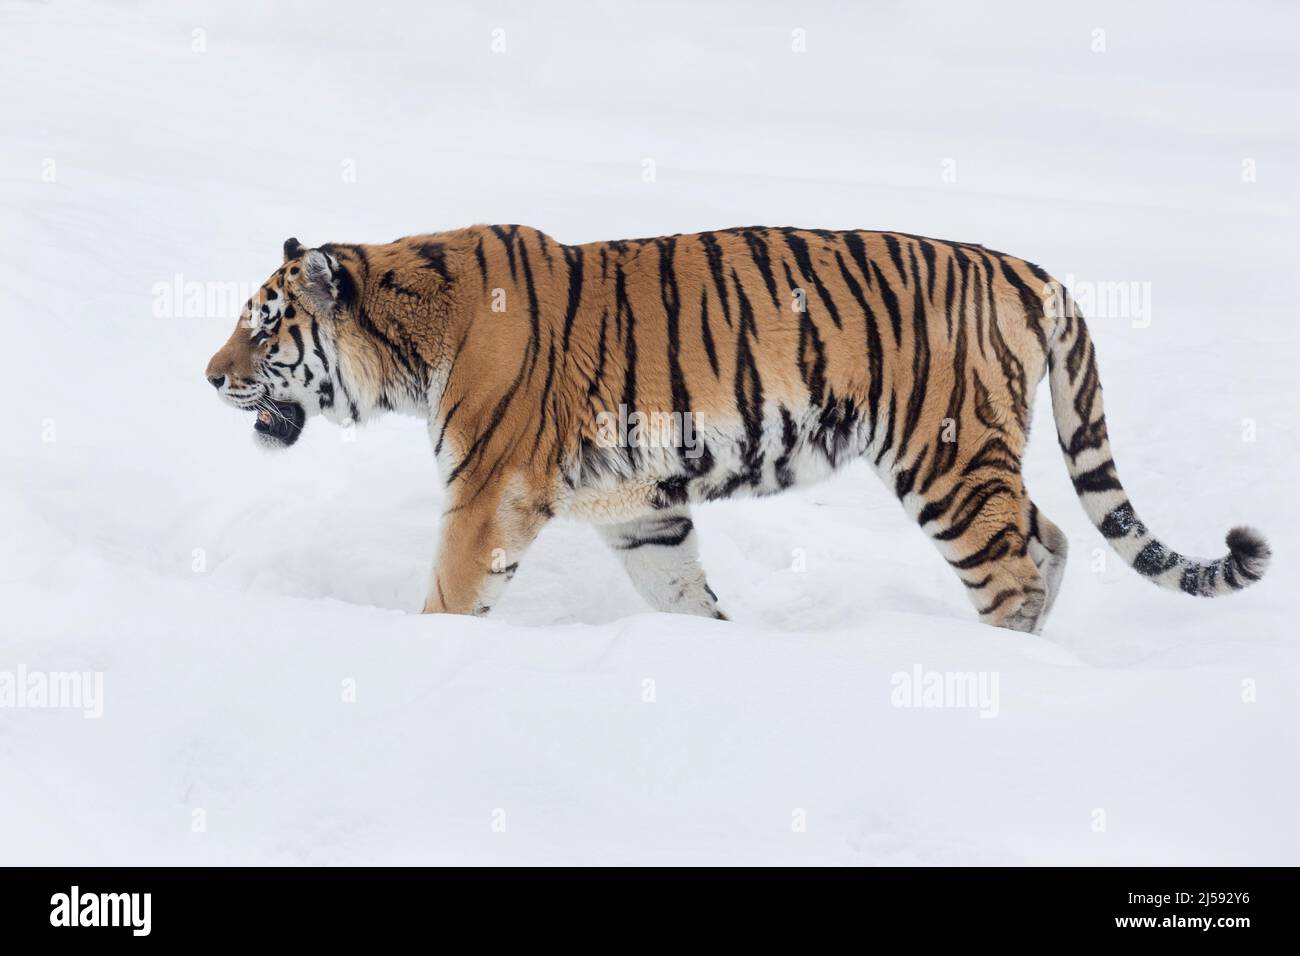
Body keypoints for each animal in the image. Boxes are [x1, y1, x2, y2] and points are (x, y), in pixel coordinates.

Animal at [202, 222, 1268, 629]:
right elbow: (682, 593)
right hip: (976, 461)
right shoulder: (641, 511)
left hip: (948, 460)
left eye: (263, 327)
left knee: (1014, 566)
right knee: (1049, 538)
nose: (210, 377)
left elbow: (447, 599)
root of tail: (1029, 269)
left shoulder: (485, 499)